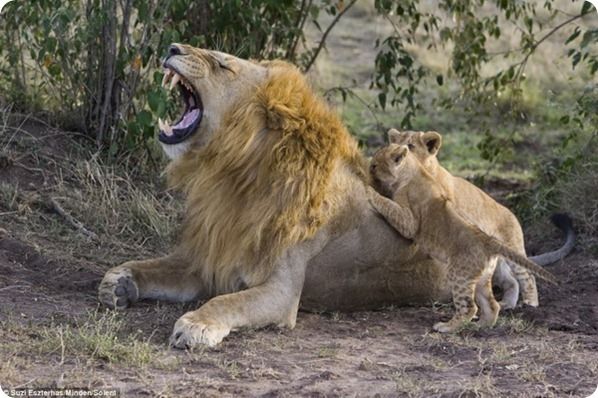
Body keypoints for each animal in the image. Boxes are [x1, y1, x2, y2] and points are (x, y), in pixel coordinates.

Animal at [99, 44, 576, 348]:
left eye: (221, 64)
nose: (173, 45)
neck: (233, 176)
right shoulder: (211, 259)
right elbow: (154, 266)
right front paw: (118, 282)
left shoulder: (281, 292)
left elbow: (227, 300)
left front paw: (197, 325)